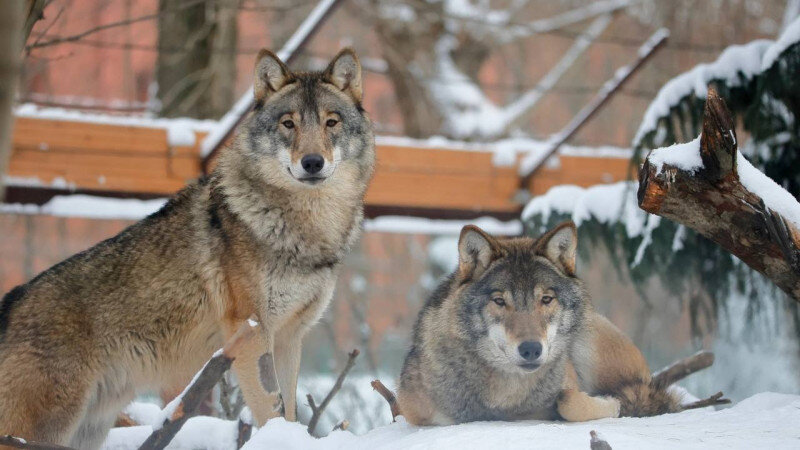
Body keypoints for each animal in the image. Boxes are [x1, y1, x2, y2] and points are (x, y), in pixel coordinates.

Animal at [0, 47, 376, 448]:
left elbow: (287, 410)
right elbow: (269, 411)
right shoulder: (251, 334)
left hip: (88, 429)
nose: (312, 162)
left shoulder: (290, 337)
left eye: (331, 122)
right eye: (288, 124)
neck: (306, 228)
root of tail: (12, 301)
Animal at [396, 222, 680, 426]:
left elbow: (570, 403)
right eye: (499, 301)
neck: (506, 394)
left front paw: (608, 401)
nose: (531, 349)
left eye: (546, 299)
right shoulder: (415, 412)